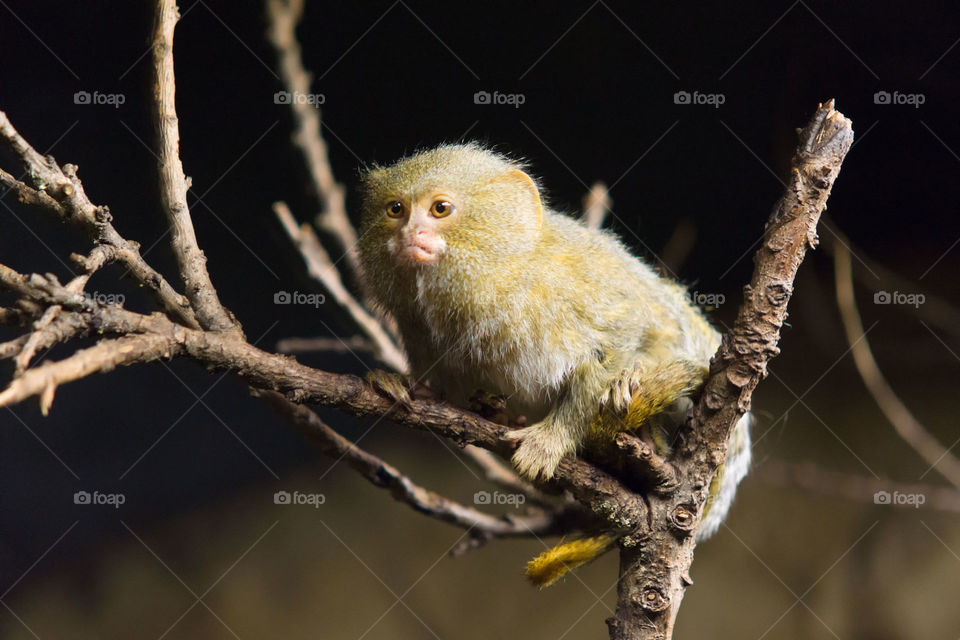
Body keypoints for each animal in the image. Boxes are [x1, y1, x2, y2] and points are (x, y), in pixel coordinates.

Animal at [356, 143, 751, 587]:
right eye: (396, 209)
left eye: (440, 209)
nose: (410, 234)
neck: (499, 272)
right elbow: (441, 386)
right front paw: (407, 387)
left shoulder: (563, 290)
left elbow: (626, 331)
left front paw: (552, 440)